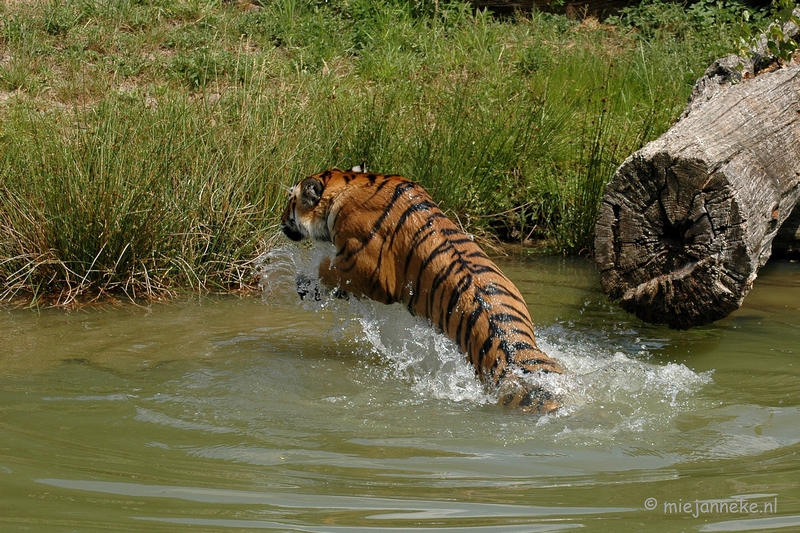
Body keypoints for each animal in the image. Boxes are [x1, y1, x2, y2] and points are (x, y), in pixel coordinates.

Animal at [280, 165, 564, 412]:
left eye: (290, 200)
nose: (281, 222)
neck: (347, 185)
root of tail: (513, 354)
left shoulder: (363, 268)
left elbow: (325, 270)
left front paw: (305, 285)